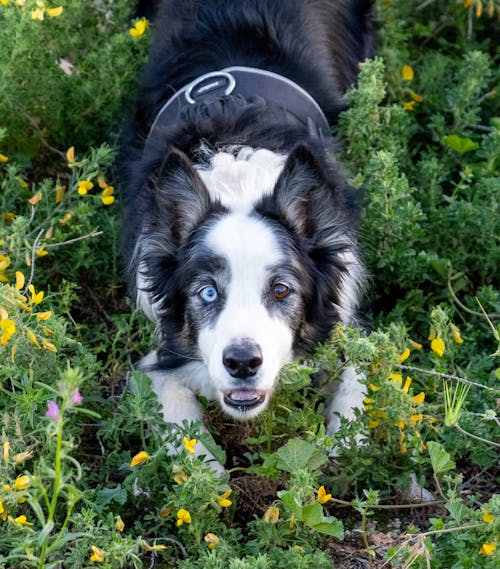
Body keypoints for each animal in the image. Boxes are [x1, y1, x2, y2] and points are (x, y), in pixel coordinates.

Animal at [120, 1, 376, 466]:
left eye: (280, 290)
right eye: (207, 292)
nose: (242, 362)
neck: (239, 186)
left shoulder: (344, 313)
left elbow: (357, 377)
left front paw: (343, 448)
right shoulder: (162, 351)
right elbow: (178, 417)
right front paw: (206, 472)